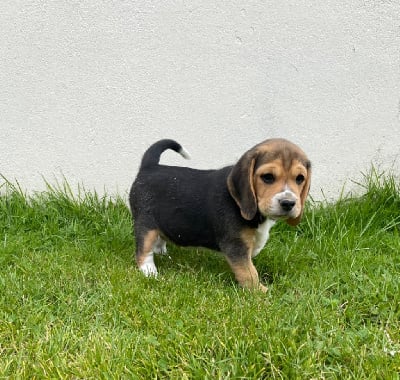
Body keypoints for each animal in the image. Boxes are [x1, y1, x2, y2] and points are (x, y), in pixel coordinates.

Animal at [130, 139, 310, 290]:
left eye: (300, 178)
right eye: (268, 177)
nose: (288, 203)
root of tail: (149, 166)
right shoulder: (235, 245)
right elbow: (249, 273)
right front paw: (261, 293)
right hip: (146, 223)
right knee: (143, 252)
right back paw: (151, 273)